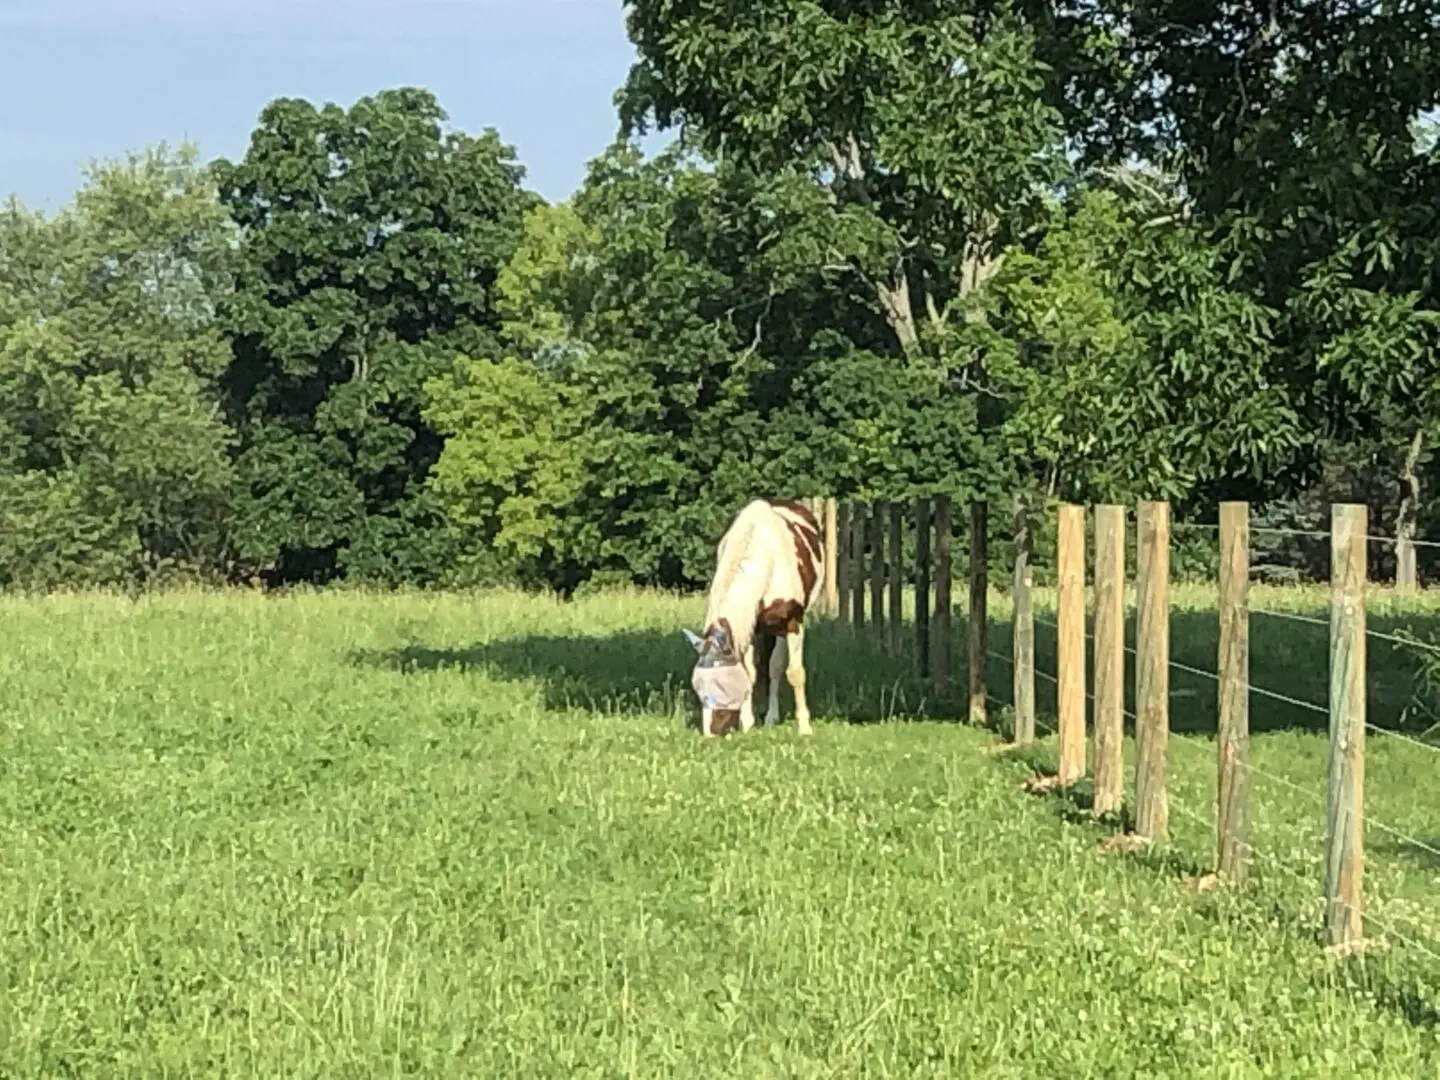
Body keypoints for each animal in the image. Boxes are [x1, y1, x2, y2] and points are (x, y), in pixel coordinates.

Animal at [685, 498, 823, 737]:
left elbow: (795, 673)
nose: (710, 734)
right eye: (697, 686)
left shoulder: (793, 622)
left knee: (776, 666)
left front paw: (805, 727)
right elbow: (750, 673)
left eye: (721, 685)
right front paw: (748, 724)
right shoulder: (749, 627)